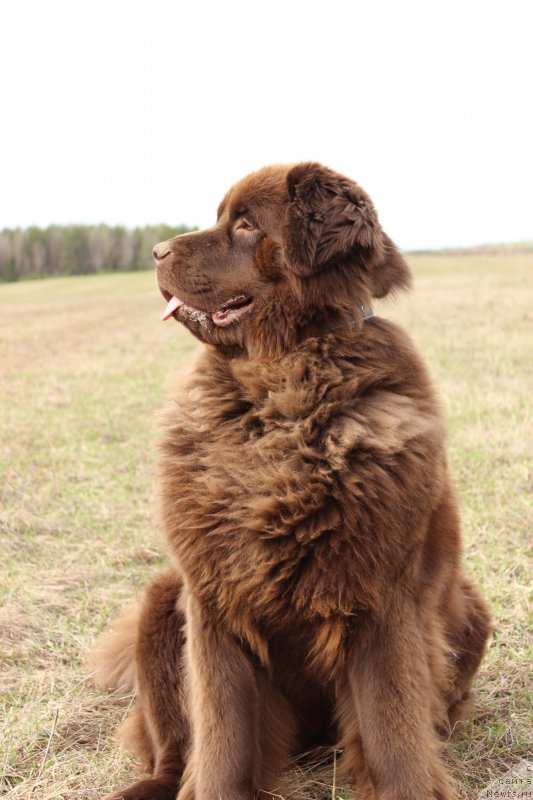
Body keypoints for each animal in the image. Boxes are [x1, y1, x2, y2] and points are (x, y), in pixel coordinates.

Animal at [92, 164, 490, 800]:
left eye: (246, 225)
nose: (156, 250)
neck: (278, 390)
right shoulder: (212, 596)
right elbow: (221, 736)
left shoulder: (382, 597)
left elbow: (393, 726)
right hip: (160, 603)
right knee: (173, 746)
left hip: (470, 605)